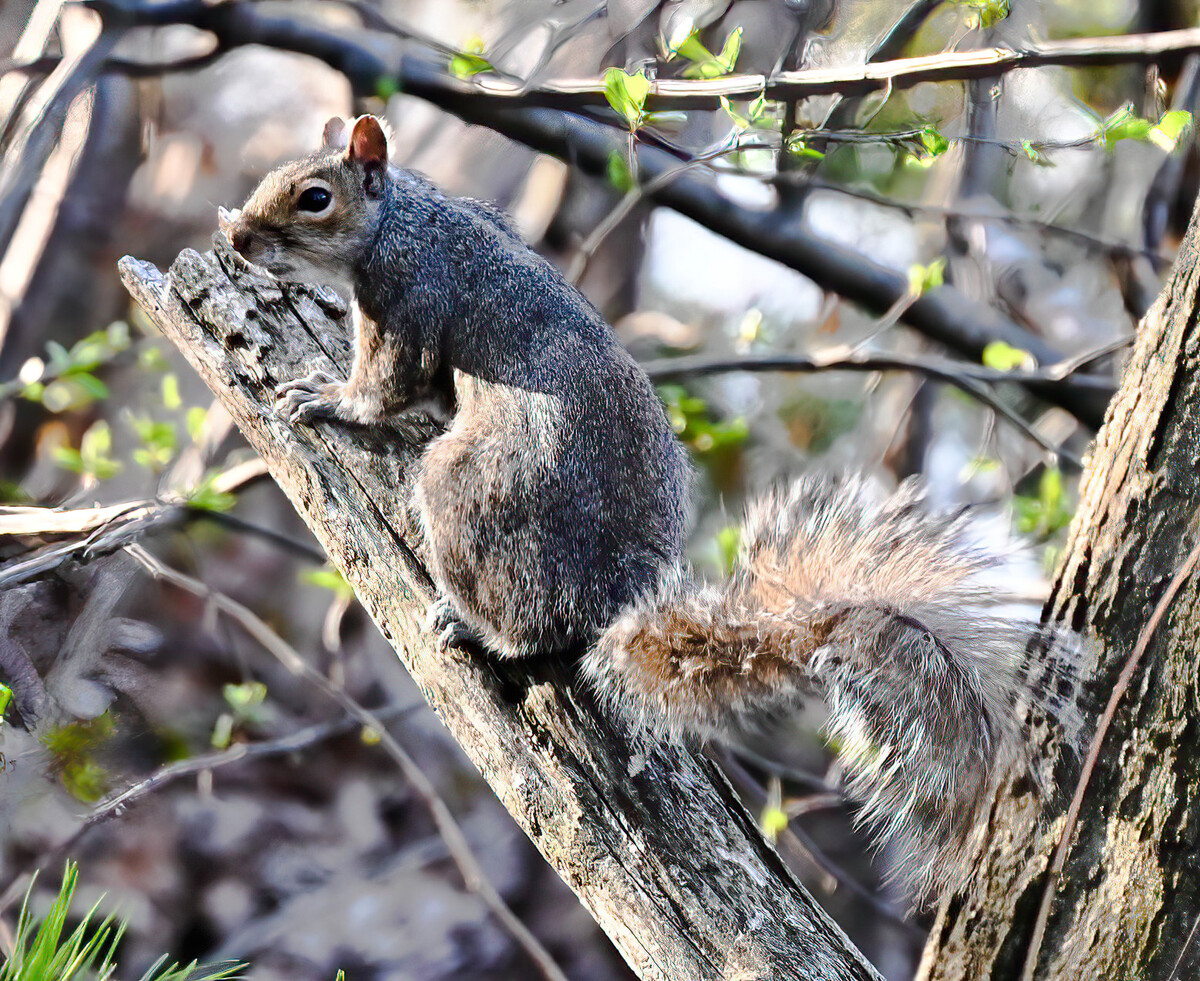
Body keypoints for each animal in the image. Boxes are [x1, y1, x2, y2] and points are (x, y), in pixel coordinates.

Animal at [220, 114, 1088, 901]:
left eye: (315, 197)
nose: (239, 239)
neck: (407, 214)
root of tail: (610, 596)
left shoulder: (406, 299)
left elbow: (385, 388)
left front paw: (326, 398)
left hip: (467, 489)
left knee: (529, 626)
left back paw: (475, 625)